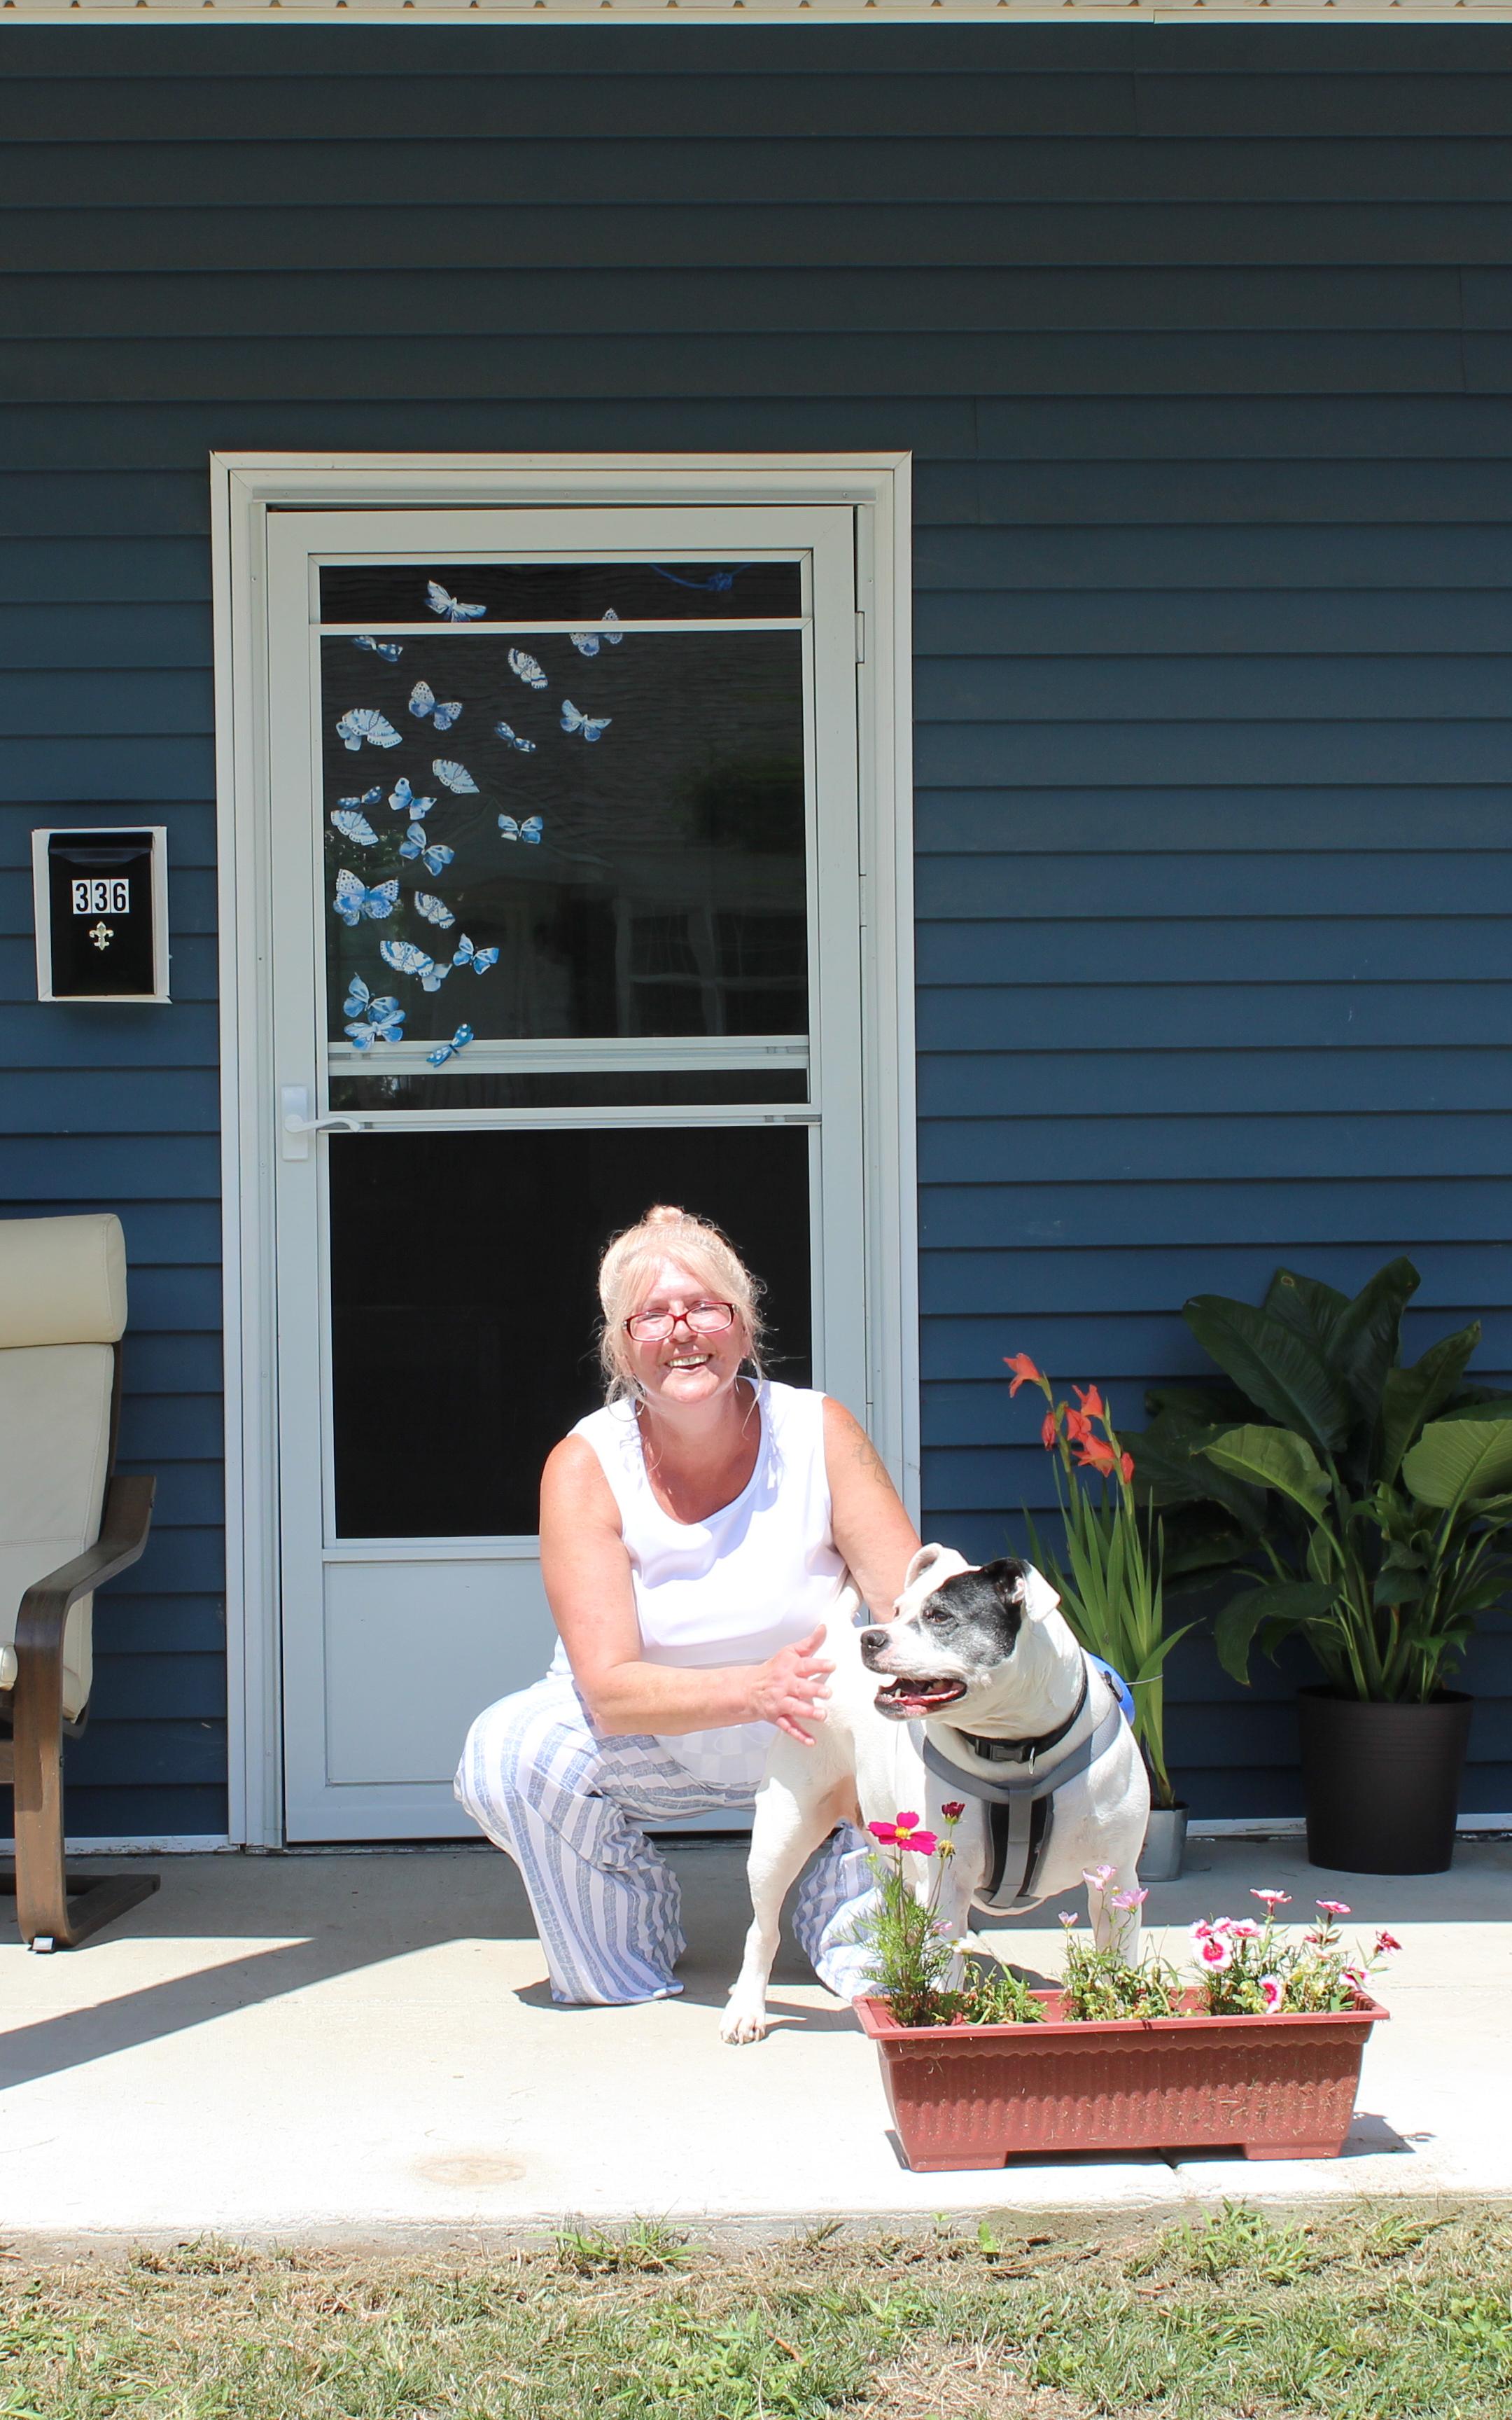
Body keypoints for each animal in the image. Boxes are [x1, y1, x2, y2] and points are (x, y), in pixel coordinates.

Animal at [720, 1548, 1142, 2042]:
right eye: (897, 1610)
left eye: (939, 1616)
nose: (872, 1637)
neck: (1017, 1748)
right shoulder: (947, 1884)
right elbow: (946, 1978)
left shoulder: (1117, 1881)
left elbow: (1116, 1962)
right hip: (782, 1836)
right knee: (763, 1929)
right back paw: (746, 2009)